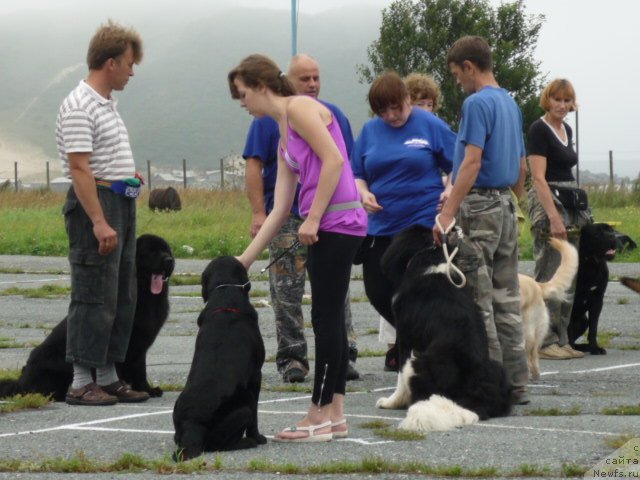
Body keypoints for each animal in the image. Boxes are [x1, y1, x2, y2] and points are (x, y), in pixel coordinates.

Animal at [0, 234, 174, 400]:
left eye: (166, 250)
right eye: (151, 252)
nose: (169, 260)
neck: (146, 296)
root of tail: (21, 382)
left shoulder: (140, 347)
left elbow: (140, 371)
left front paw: (147, 390)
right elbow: (118, 369)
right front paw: (120, 389)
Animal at [171, 255, 266, 462]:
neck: (225, 293)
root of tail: (193, 423)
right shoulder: (256, 375)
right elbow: (255, 416)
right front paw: (258, 437)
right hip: (243, 407)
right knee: (219, 445)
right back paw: (248, 442)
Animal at [568, 223, 616, 354]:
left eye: (611, 230)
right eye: (597, 233)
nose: (612, 235)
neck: (590, 264)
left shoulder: (597, 299)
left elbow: (593, 327)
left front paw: (595, 348)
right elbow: (566, 327)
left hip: (583, 321)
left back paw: (583, 347)